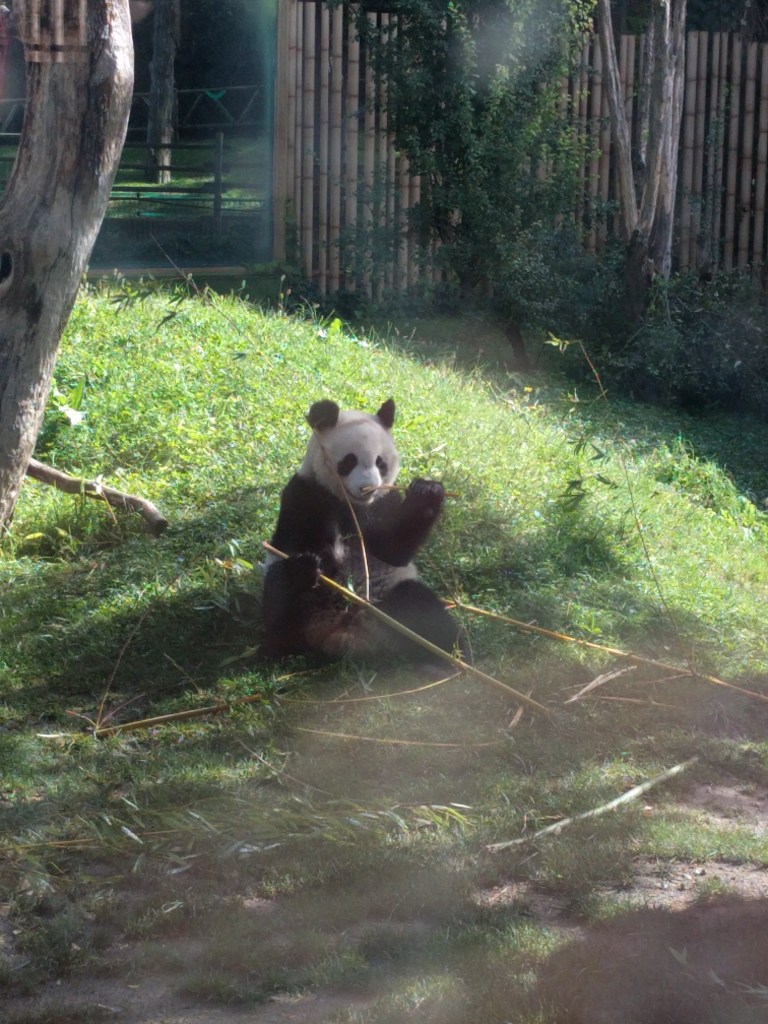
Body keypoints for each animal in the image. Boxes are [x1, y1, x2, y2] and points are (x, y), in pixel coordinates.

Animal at [262, 397, 460, 661]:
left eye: (380, 462)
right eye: (349, 461)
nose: (368, 488)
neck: (352, 504)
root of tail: (347, 634)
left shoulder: (385, 501)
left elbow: (394, 549)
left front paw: (427, 491)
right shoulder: (307, 492)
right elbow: (291, 542)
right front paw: (325, 555)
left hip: (391, 596)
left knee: (425, 611)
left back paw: (450, 658)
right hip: (308, 606)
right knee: (279, 599)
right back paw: (300, 577)